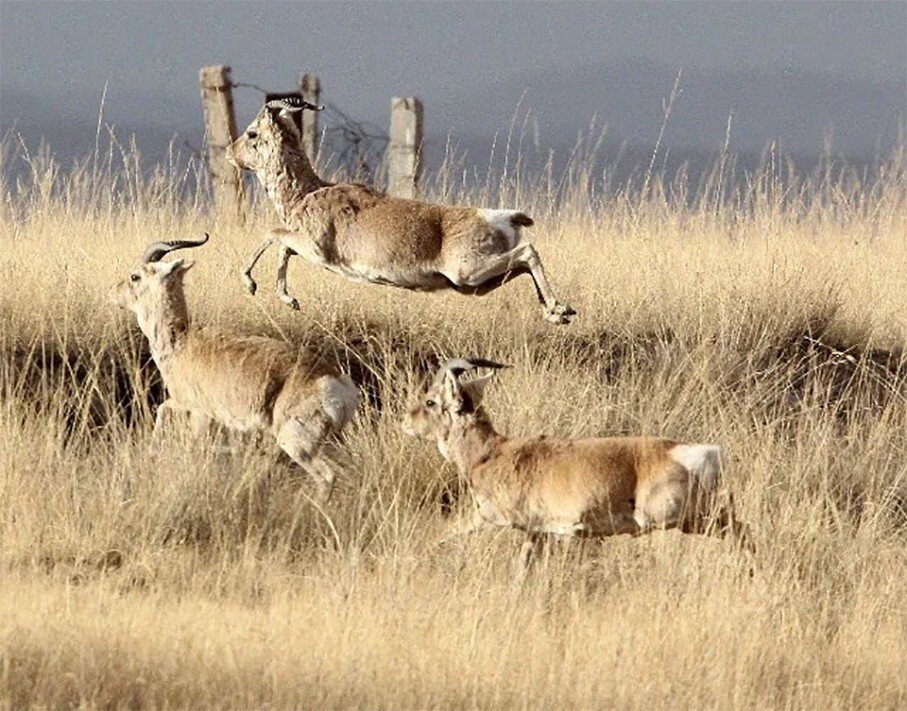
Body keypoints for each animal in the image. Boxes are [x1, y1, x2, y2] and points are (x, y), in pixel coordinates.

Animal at [115, 236, 364, 504]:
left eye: (135, 276)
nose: (114, 293)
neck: (182, 341)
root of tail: (338, 382)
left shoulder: (198, 413)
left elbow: (166, 414)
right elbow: (163, 408)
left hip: (298, 445)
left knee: (327, 476)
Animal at [226, 96, 576, 324]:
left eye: (253, 132)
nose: (230, 152)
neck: (307, 193)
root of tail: (504, 217)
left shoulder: (316, 249)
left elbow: (273, 234)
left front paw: (252, 284)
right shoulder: (301, 245)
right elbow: (282, 247)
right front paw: (290, 299)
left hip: (468, 272)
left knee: (528, 251)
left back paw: (560, 310)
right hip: (475, 285)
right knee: (522, 263)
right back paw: (555, 312)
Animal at [404, 356, 752, 572]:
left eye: (431, 400)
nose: (405, 422)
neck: (491, 452)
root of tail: (701, 452)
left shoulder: (488, 518)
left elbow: (444, 534)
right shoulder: (535, 534)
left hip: (683, 517)